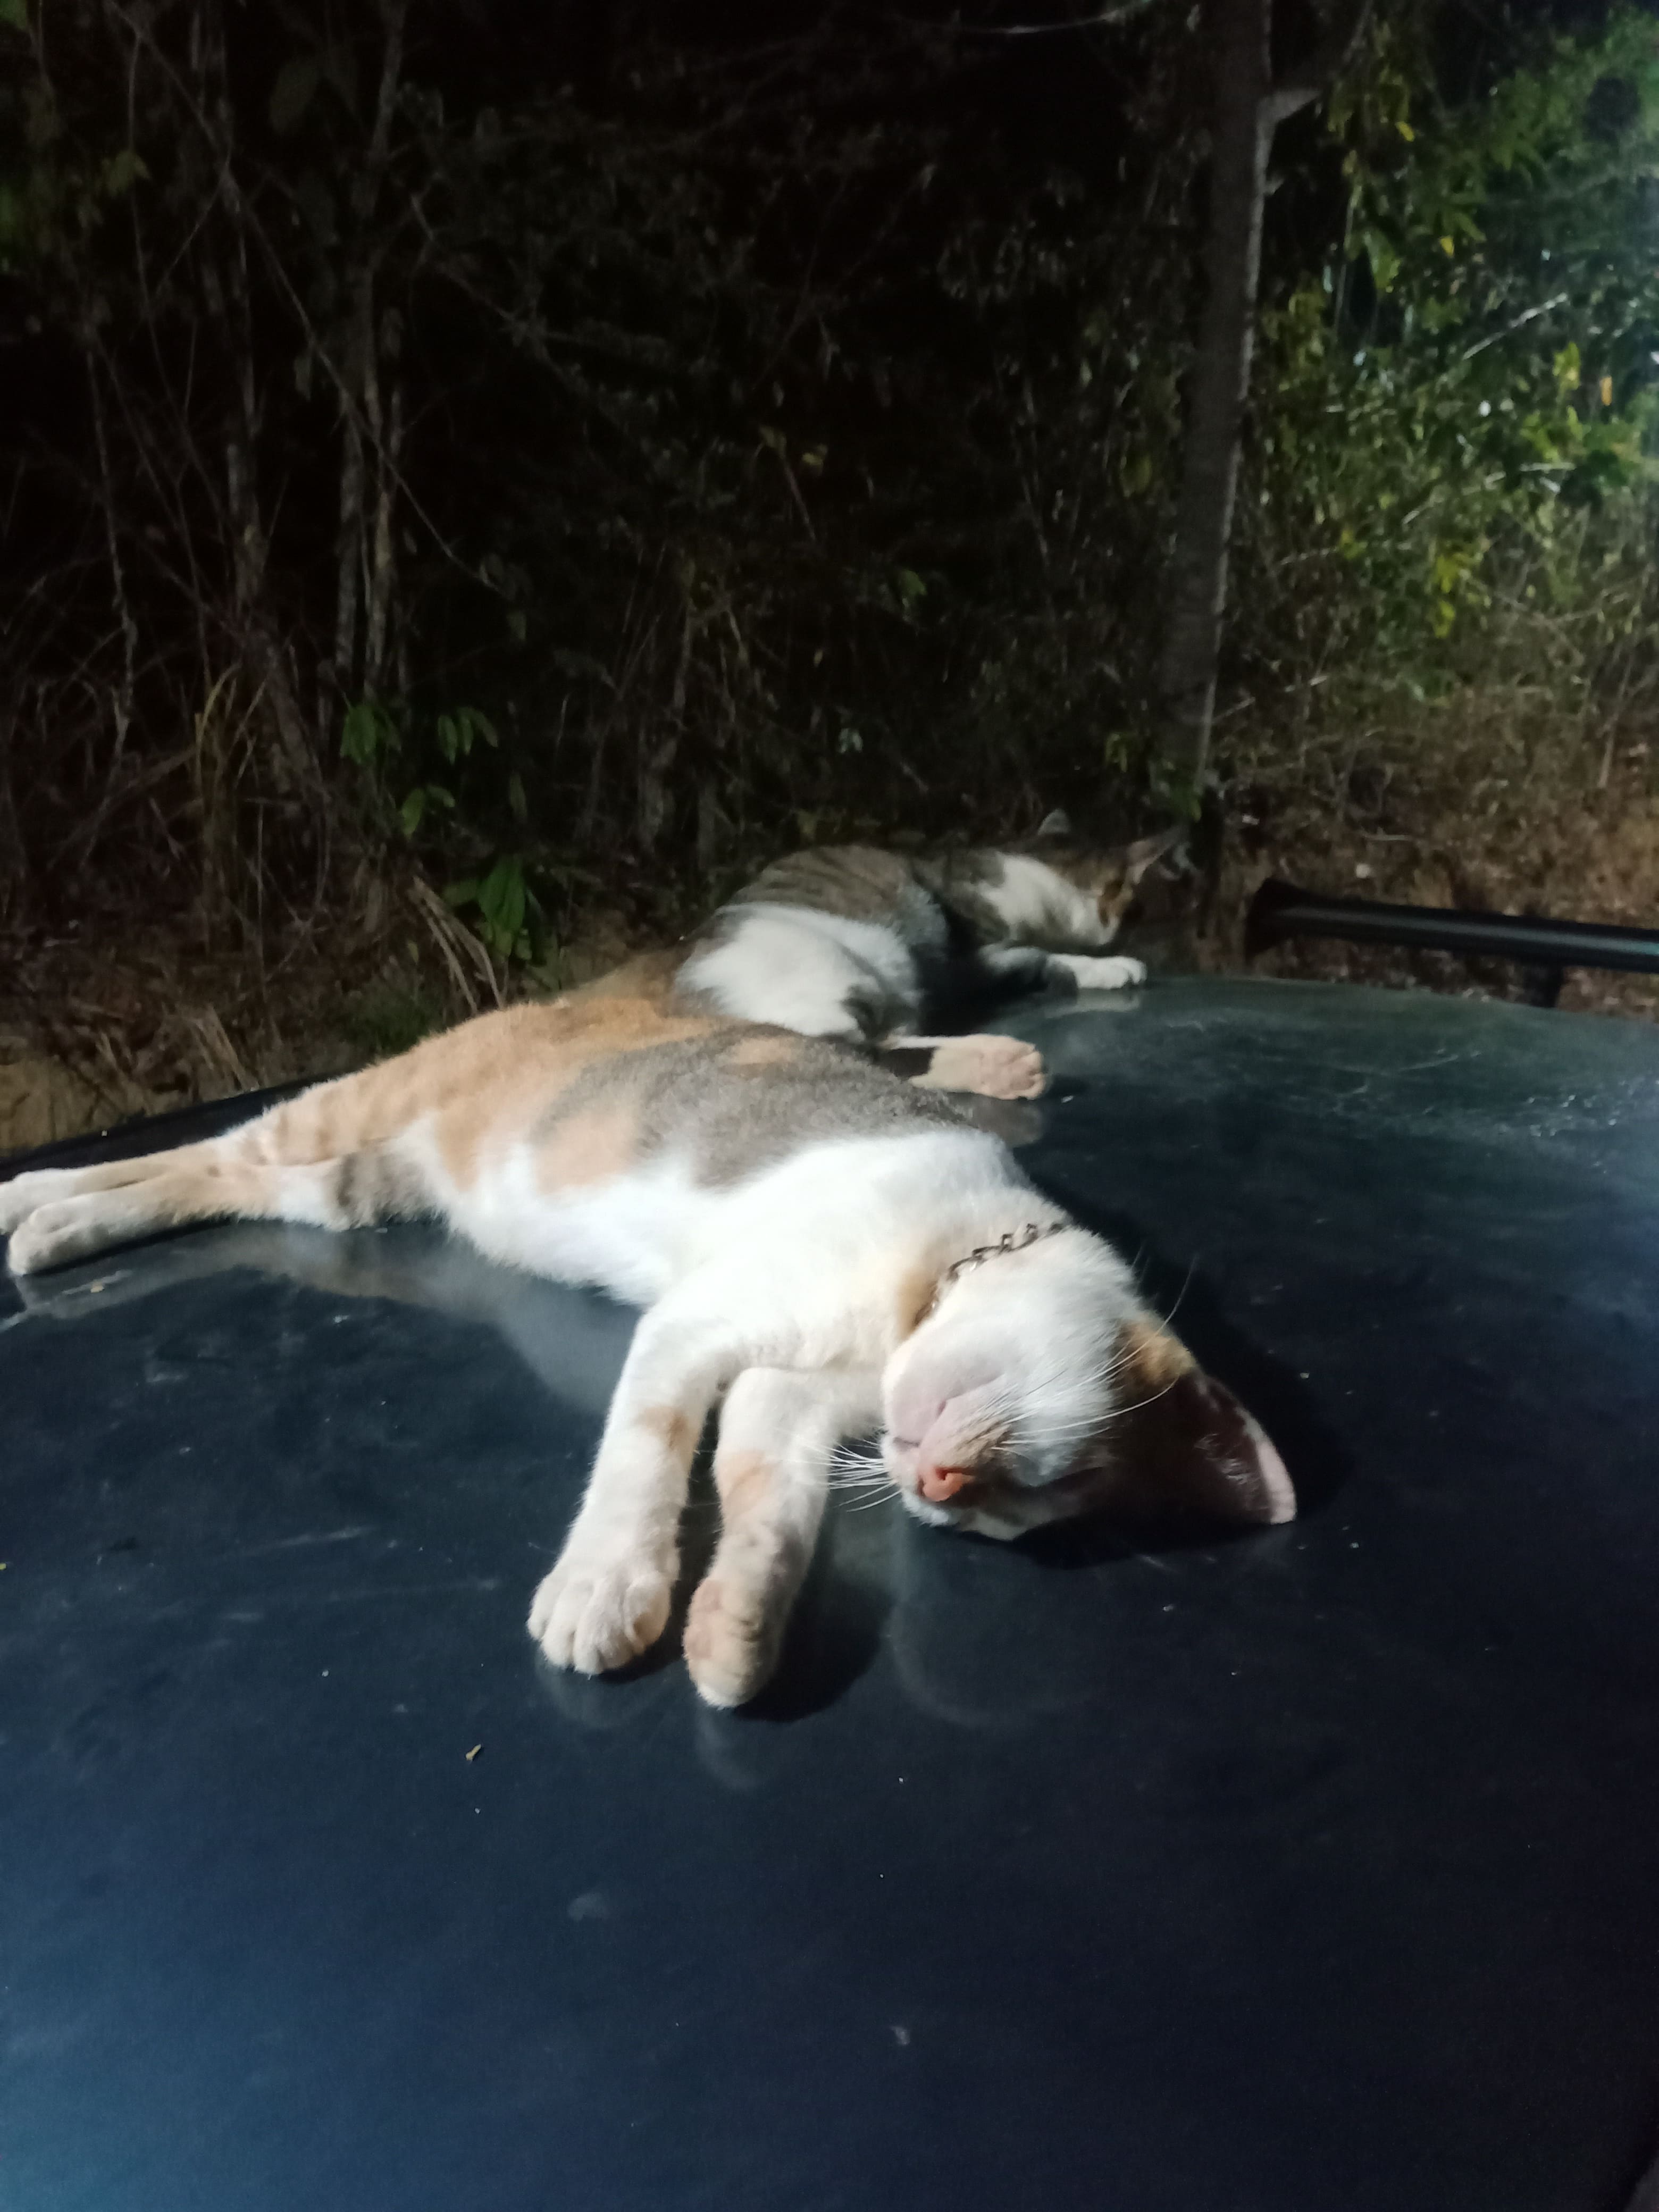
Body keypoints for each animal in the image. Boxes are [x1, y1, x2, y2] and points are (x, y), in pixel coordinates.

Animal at [0, 985, 1292, 1709]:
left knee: (243, 1183)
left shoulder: (788, 1393)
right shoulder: (696, 1323)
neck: (917, 1291)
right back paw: (44, 1200)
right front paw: (608, 1582)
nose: (937, 1484)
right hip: (359, 1104)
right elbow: (646, 1450)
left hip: (359, 1187)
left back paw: (62, 1220)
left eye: (1008, 1517)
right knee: (214, 1146)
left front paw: (737, 1632)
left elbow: (769, 1499)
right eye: (1042, 1469)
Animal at [664, 811, 1180, 1100]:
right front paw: (1111, 967)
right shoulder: (979, 954)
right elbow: (1045, 955)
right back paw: (1000, 1061)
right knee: (855, 1048)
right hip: (827, 967)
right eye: (1136, 910)